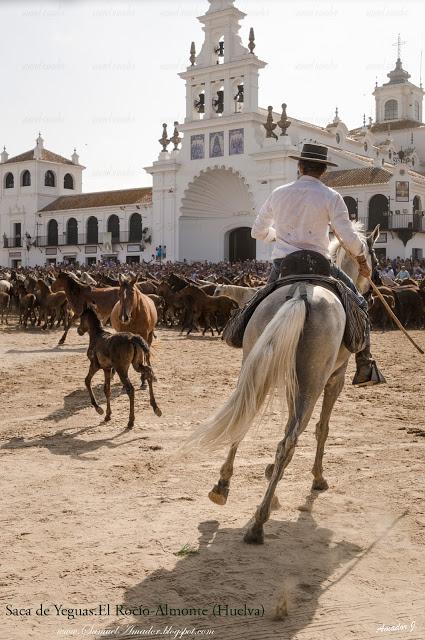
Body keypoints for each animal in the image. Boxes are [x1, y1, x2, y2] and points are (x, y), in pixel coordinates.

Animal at [181, 225, 378, 544]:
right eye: (373, 256)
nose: (373, 289)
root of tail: (300, 294)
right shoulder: (335, 377)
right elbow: (322, 428)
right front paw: (318, 478)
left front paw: (271, 470)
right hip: (313, 380)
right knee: (289, 440)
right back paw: (258, 522)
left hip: (257, 363)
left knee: (245, 417)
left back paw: (222, 487)